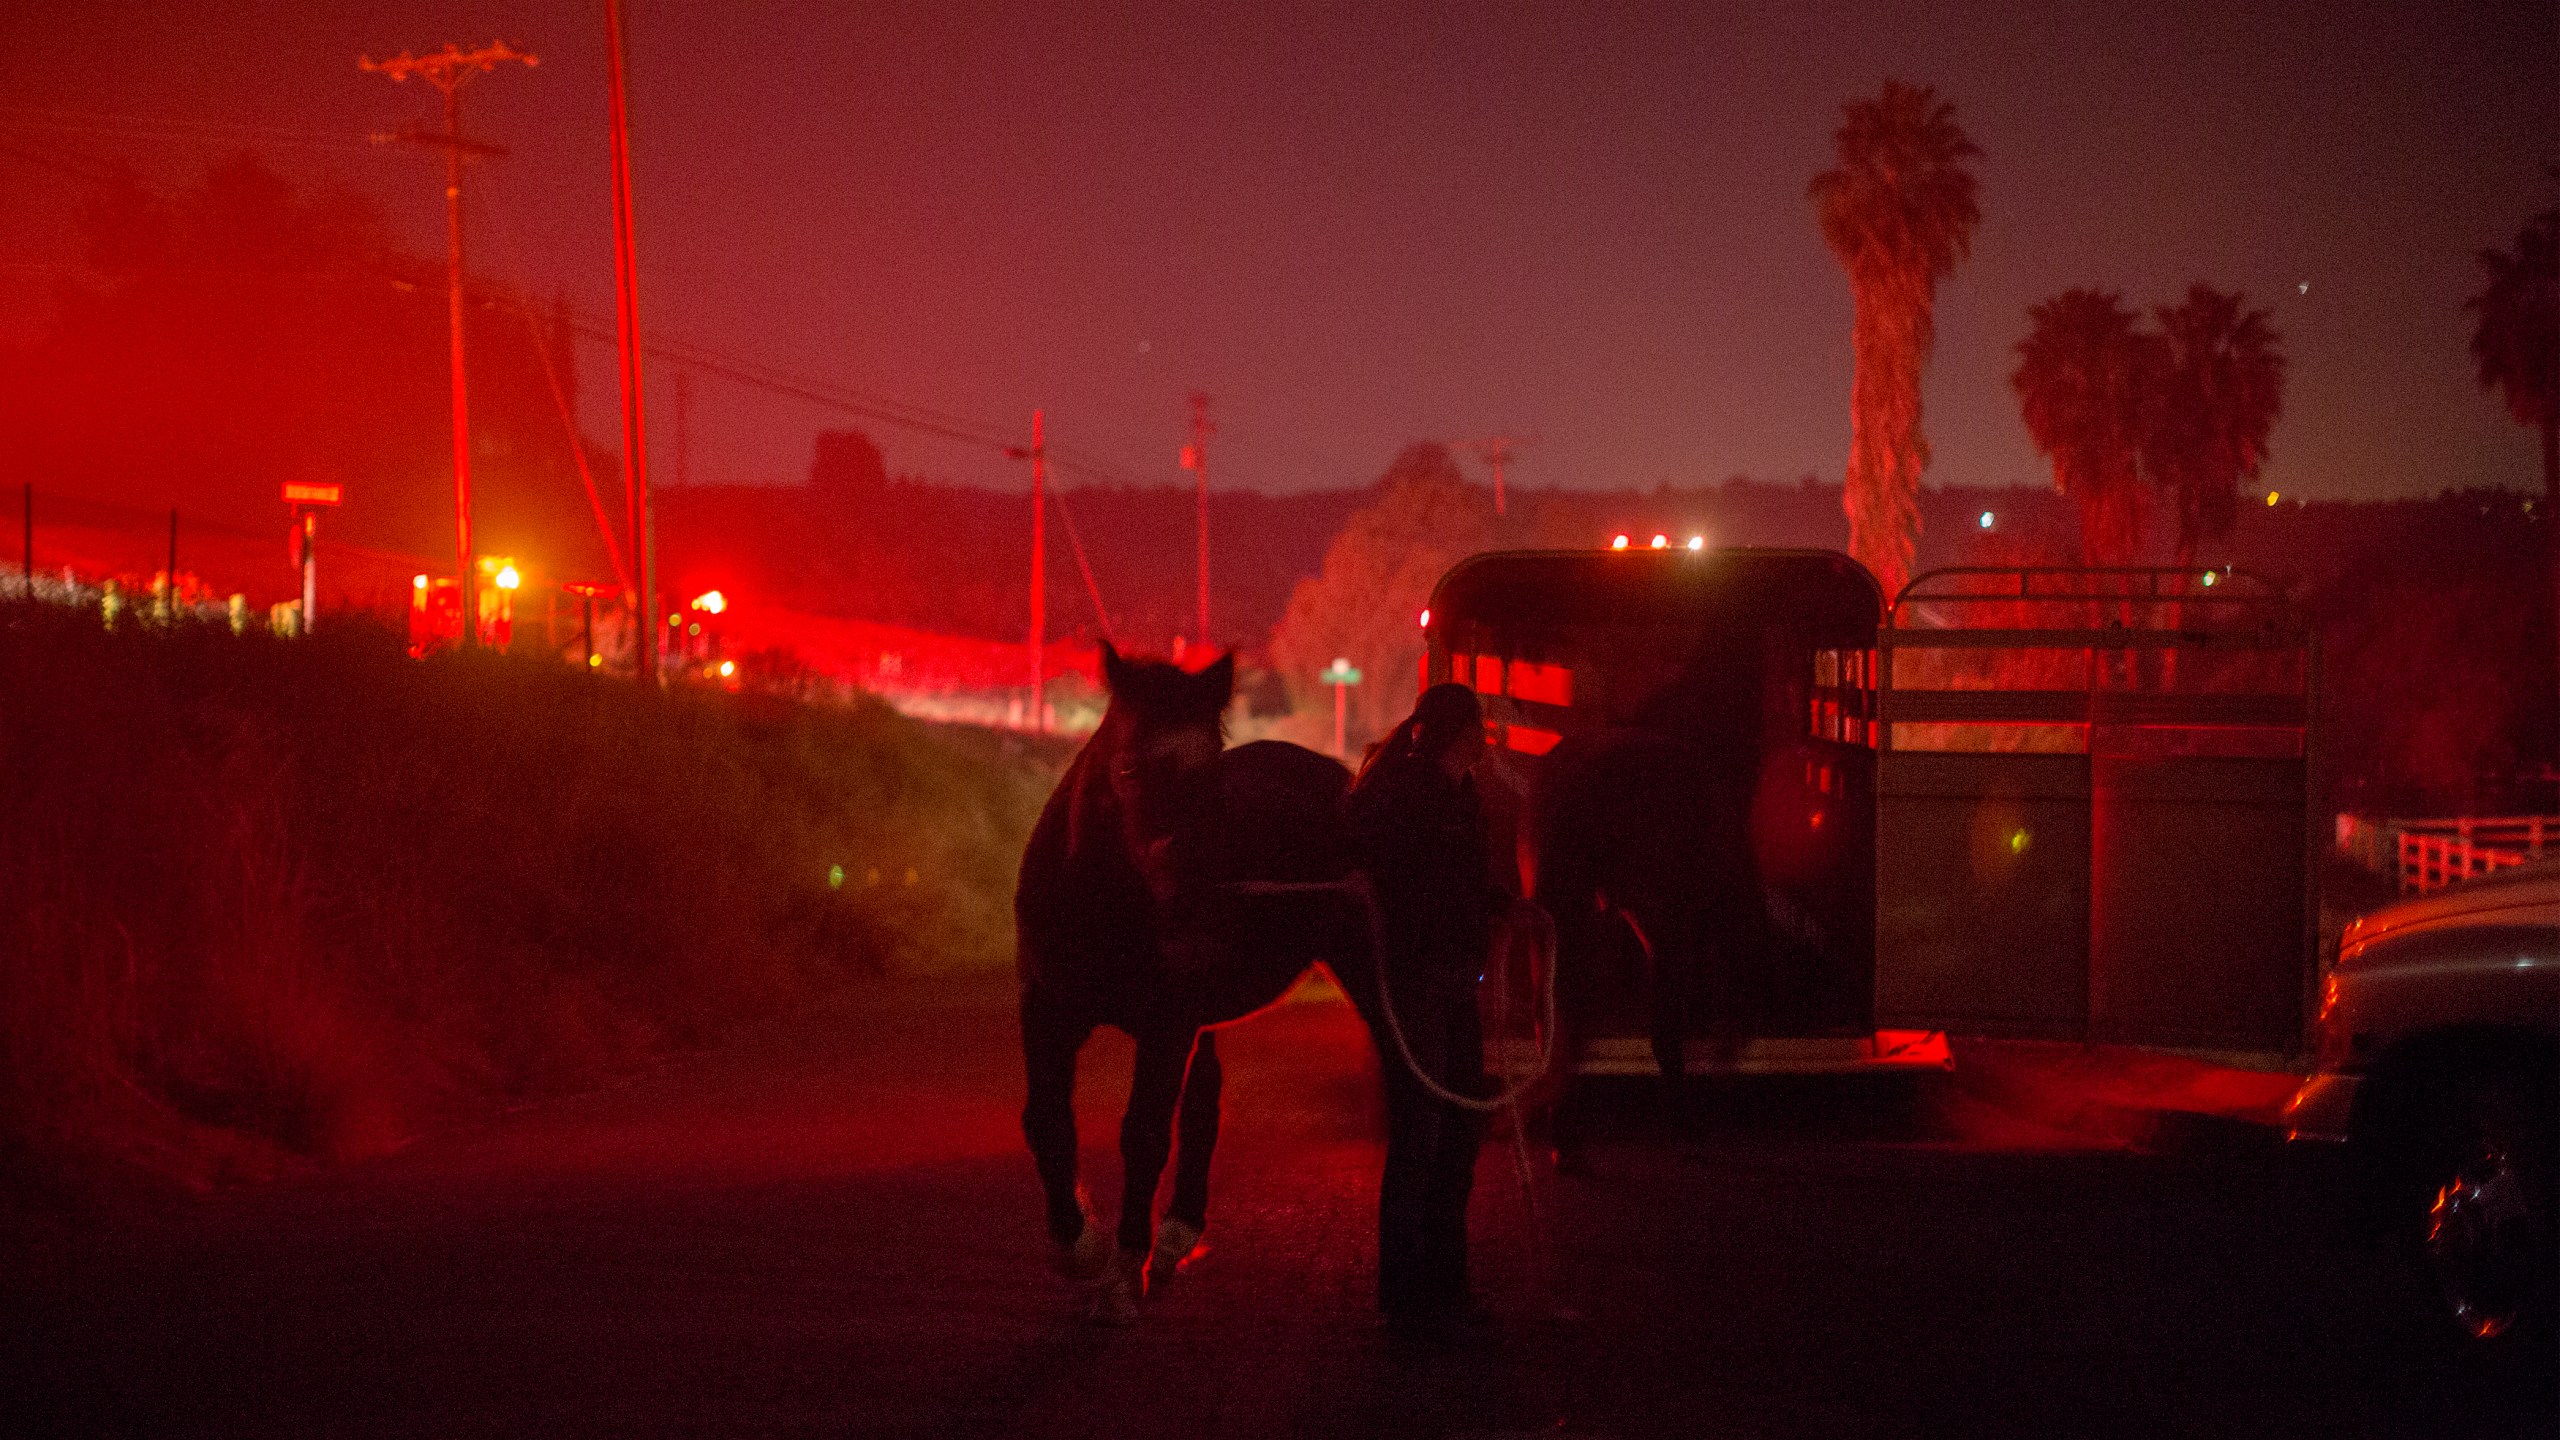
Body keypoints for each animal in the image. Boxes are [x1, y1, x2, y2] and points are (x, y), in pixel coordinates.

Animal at [1008, 638, 1361, 1311]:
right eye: (1125, 770)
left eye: (1212, 776)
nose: (1196, 903)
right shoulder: (1047, 1010)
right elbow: (1046, 1122)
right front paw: (1077, 1244)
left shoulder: (1168, 1024)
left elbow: (1144, 1134)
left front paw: (1123, 1271)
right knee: (1205, 1099)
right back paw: (1177, 1232)